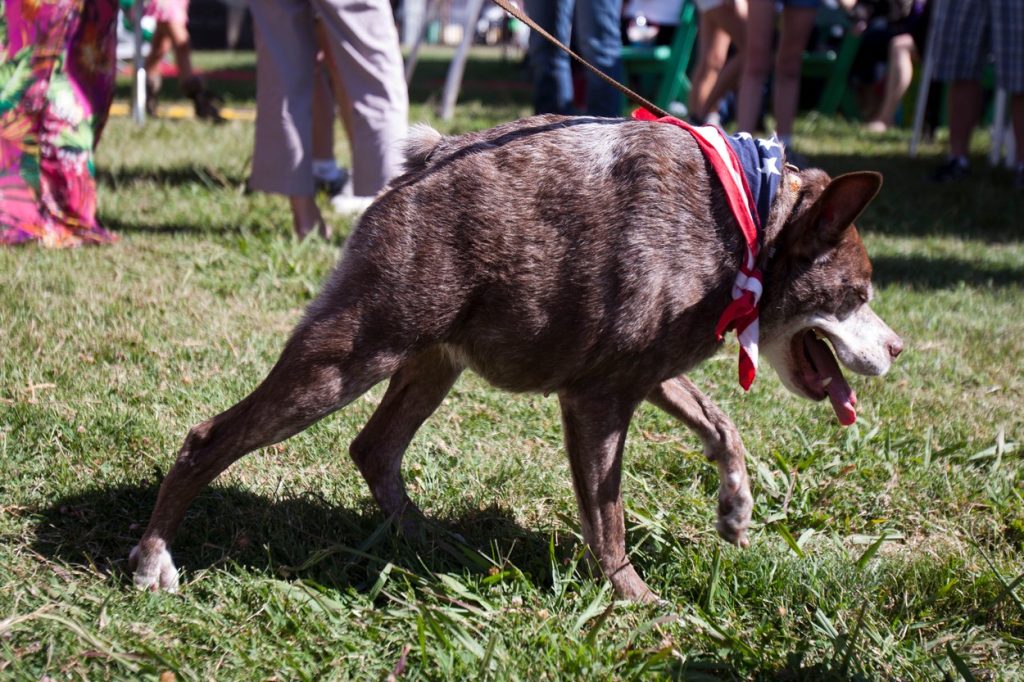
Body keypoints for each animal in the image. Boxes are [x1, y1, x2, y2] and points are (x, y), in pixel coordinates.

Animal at [130, 115, 905, 602]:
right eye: (859, 294)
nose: (898, 346)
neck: (754, 223)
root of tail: (425, 160)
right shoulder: (598, 400)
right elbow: (607, 516)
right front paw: (635, 600)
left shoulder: (641, 375)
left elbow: (721, 425)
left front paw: (736, 509)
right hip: (348, 358)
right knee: (210, 438)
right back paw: (153, 559)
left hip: (429, 362)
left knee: (373, 447)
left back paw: (428, 543)